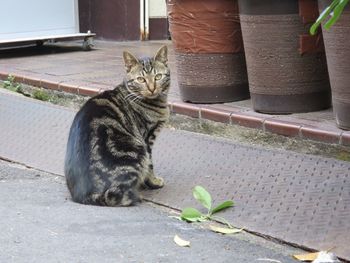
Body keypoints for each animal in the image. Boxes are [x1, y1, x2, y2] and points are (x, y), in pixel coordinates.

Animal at [65, 46, 171, 207]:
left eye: (158, 77)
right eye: (141, 79)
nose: (152, 88)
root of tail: (85, 195)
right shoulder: (147, 139)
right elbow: (150, 165)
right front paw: (153, 181)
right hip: (136, 150)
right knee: (117, 196)